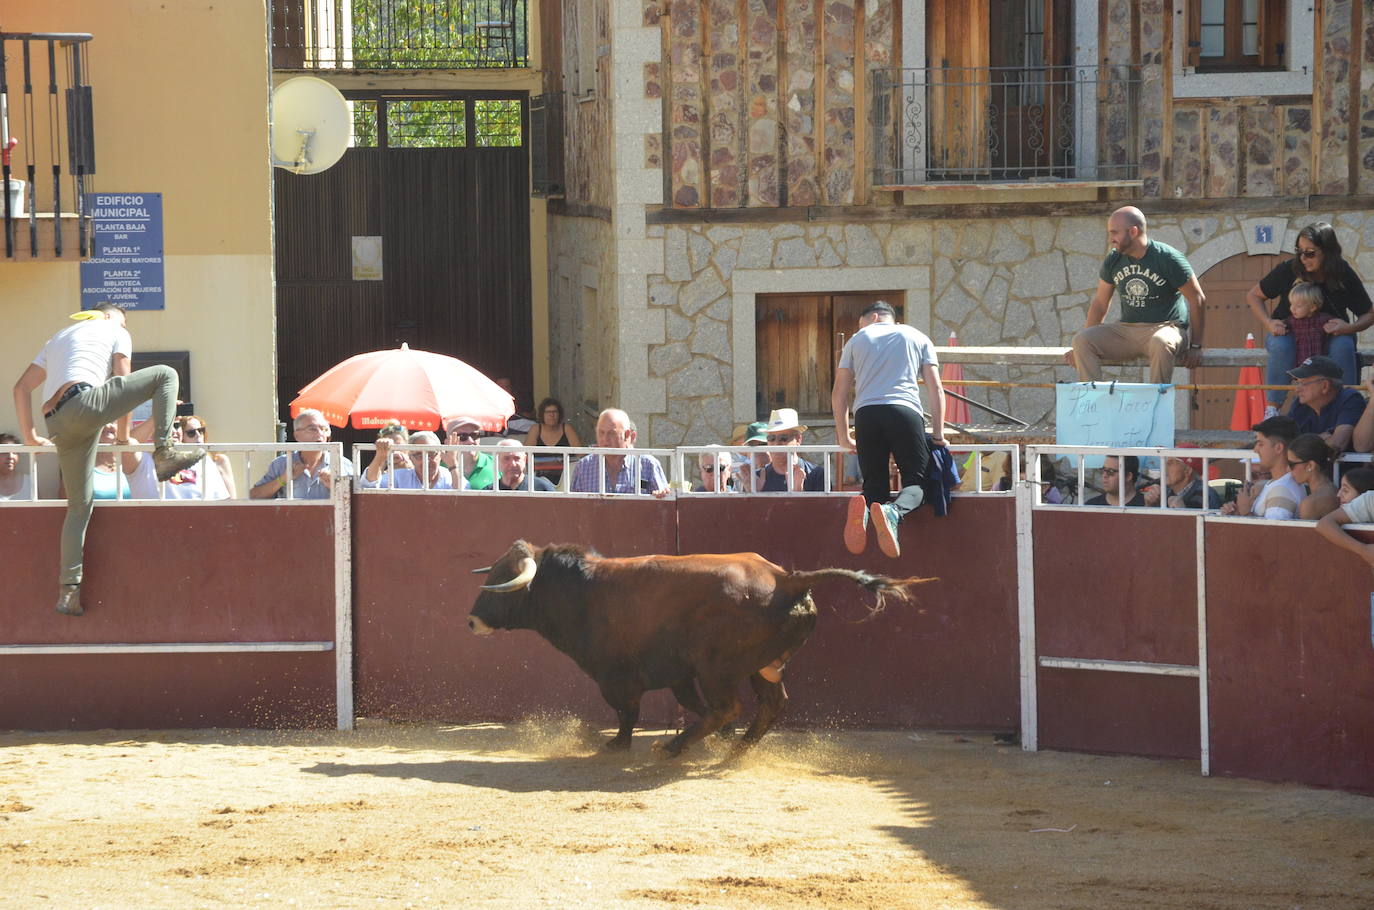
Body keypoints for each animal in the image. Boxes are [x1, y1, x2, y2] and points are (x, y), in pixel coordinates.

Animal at [467, 538, 928, 758]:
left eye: (501, 580)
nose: (471, 620)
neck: (582, 590)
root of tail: (787, 579)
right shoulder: (678, 675)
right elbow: (692, 706)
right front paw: (718, 740)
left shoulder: (616, 677)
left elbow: (627, 714)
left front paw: (617, 744)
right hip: (756, 668)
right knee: (769, 704)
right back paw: (736, 750)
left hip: (718, 669)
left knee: (729, 706)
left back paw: (673, 748)